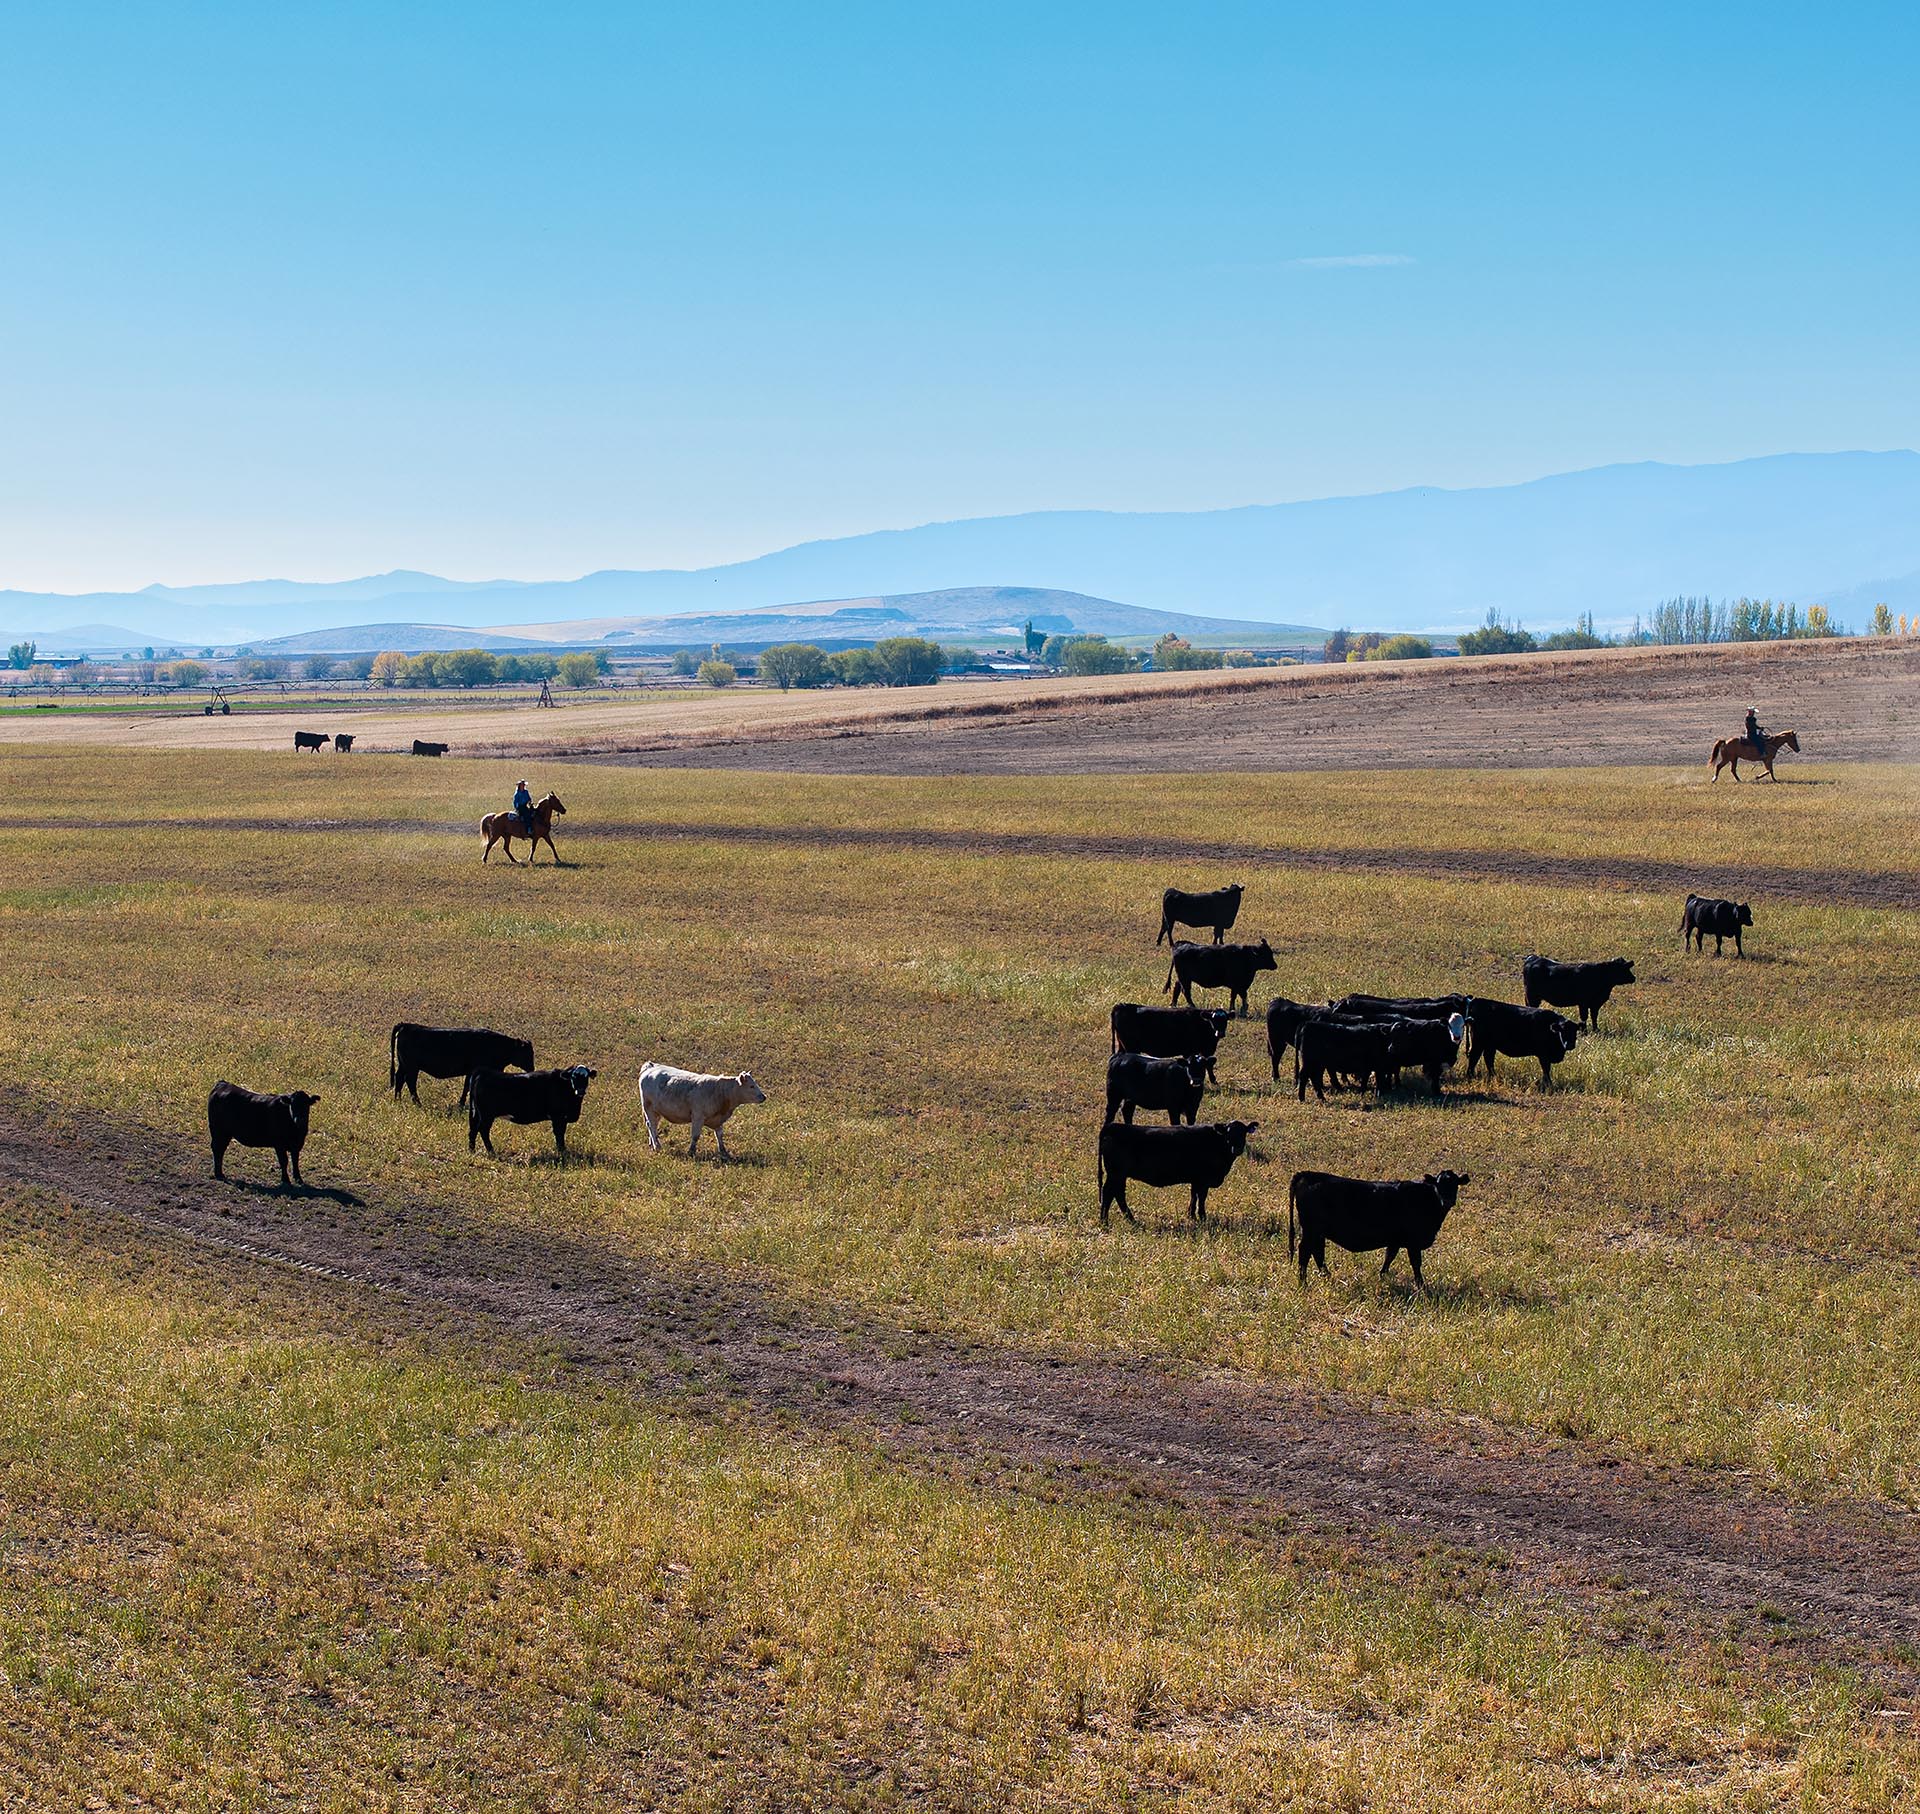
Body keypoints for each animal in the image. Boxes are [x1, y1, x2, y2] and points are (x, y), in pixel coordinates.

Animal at [390, 1022, 535, 1107]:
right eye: (527, 1054)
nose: (532, 1068)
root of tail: (406, 1025)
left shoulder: (471, 1071)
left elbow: (467, 1086)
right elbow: (468, 1087)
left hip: (404, 1065)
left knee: (399, 1078)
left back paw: (398, 1100)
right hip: (411, 1066)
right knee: (410, 1082)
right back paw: (417, 1103)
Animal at [638, 1063, 767, 1162]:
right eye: (751, 1086)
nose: (763, 1097)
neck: (719, 1091)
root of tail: (650, 1066)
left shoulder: (718, 1120)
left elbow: (719, 1135)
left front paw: (724, 1152)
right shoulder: (698, 1116)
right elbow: (695, 1136)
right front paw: (691, 1152)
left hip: (656, 1111)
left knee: (652, 1126)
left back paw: (652, 1144)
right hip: (648, 1108)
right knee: (652, 1126)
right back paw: (657, 1146)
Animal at [1096, 1119, 1258, 1227]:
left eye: (1243, 1133)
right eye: (1228, 1134)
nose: (1237, 1149)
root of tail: (1112, 1126)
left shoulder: (1196, 1179)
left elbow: (1194, 1195)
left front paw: (1191, 1215)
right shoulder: (1203, 1179)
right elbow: (1202, 1197)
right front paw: (1202, 1217)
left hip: (1119, 1175)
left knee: (1117, 1194)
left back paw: (1129, 1219)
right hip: (1116, 1173)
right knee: (1110, 1193)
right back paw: (1105, 1221)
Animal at [1288, 1169, 1470, 1289]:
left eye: (1455, 1184)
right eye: (1439, 1185)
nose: (1448, 1201)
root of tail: (1308, 1174)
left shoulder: (1395, 1240)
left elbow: (1389, 1257)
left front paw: (1382, 1276)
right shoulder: (1413, 1243)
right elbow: (1416, 1264)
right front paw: (1421, 1286)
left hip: (1317, 1232)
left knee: (1317, 1252)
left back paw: (1327, 1276)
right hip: (1311, 1231)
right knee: (1305, 1252)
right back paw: (1303, 1283)